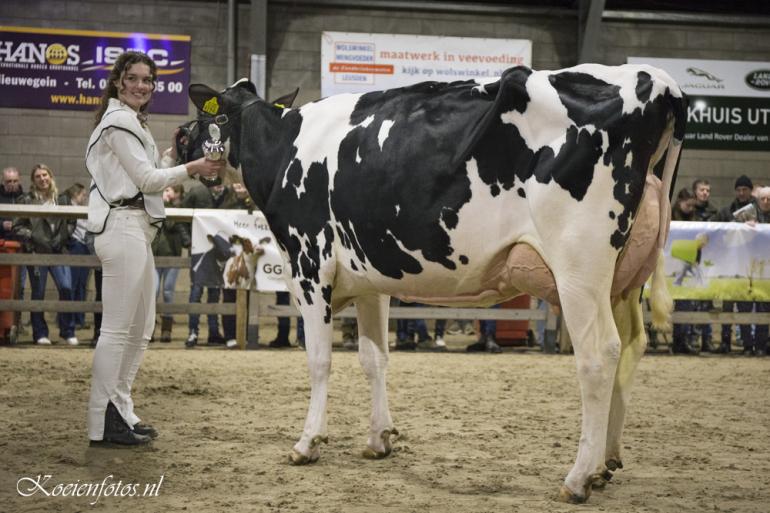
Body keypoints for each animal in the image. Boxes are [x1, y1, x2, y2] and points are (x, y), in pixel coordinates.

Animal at [184, 63, 684, 500]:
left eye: (204, 119)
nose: (182, 141)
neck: (284, 147)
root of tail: (657, 80)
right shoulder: (368, 279)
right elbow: (374, 358)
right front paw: (379, 438)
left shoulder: (310, 264)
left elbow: (319, 361)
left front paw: (307, 443)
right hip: (621, 277)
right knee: (631, 345)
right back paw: (606, 463)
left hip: (579, 267)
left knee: (599, 355)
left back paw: (578, 478)